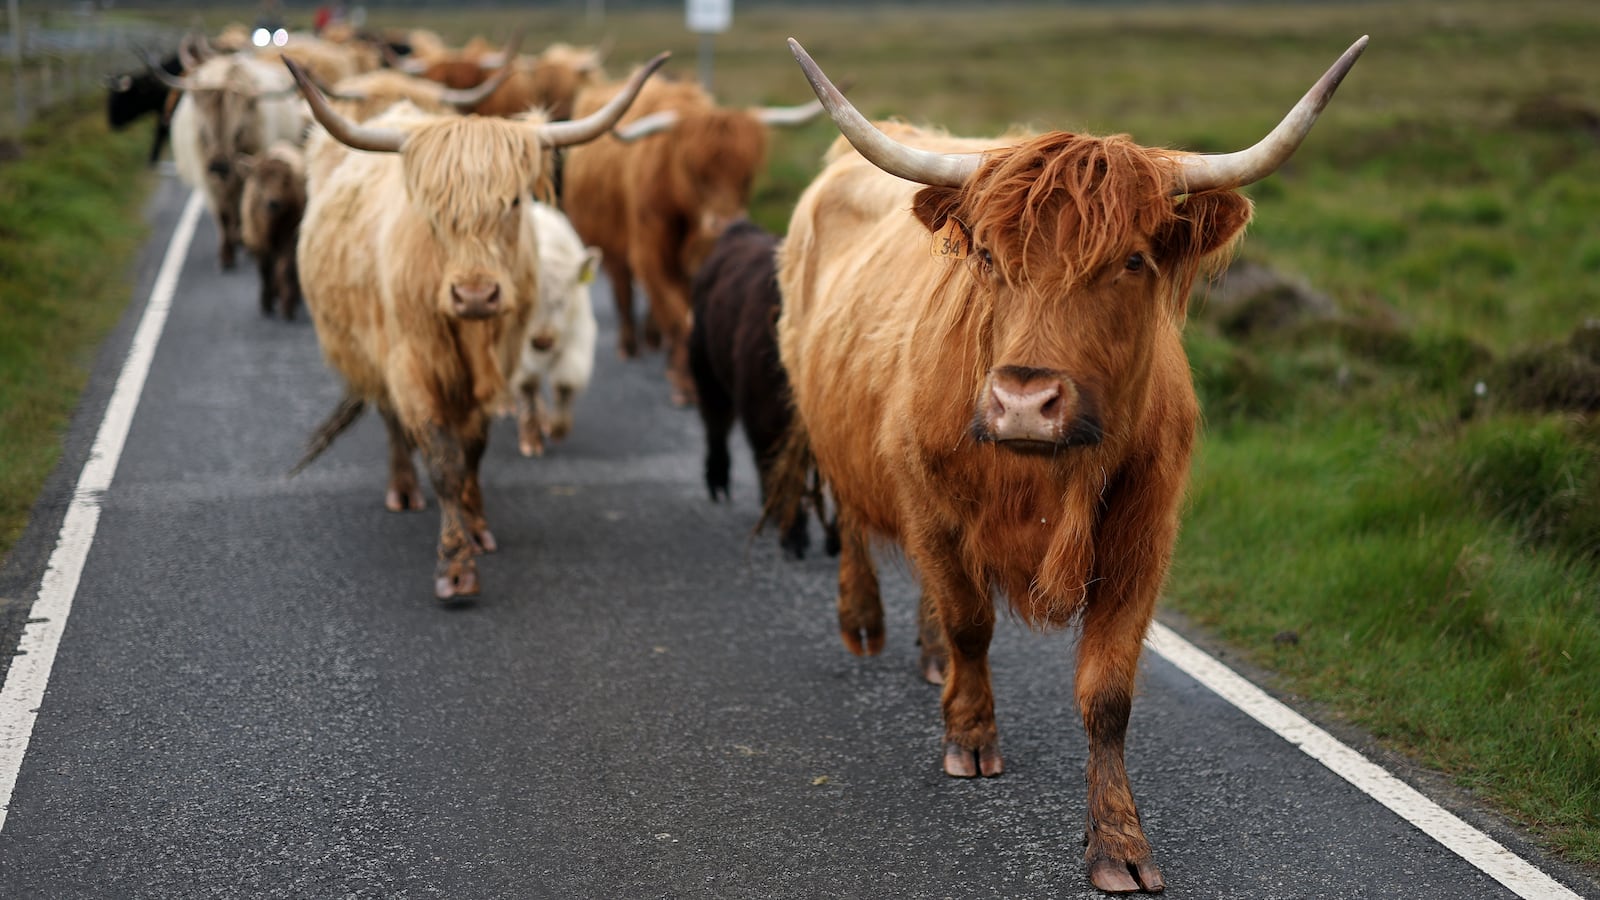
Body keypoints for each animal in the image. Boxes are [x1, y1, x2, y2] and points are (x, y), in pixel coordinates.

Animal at [160, 53, 305, 270]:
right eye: (203, 130)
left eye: (238, 131)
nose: (219, 166)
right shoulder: (210, 181)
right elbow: (223, 214)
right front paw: (226, 255)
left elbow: (239, 209)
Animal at [238, 140, 307, 321]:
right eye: (259, 179)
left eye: (285, 181)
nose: (273, 203)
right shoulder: (259, 245)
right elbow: (265, 271)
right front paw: (266, 303)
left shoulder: (289, 241)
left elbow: (285, 268)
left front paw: (287, 306)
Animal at [510, 202, 601, 458]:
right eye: (527, 301)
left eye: (562, 301)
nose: (542, 340)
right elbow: (527, 388)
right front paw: (531, 440)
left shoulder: (578, 340)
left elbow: (564, 383)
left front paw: (558, 428)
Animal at [560, 77, 822, 406]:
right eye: (693, 170)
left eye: (747, 175)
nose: (724, 222)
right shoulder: (650, 253)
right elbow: (677, 314)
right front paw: (686, 383)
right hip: (611, 244)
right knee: (624, 291)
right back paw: (629, 345)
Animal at [768, 38, 1366, 894]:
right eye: (987, 256)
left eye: (1132, 261)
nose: (1023, 400)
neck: (1048, 480)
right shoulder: (934, 503)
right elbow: (972, 620)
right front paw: (971, 737)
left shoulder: (1143, 535)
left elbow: (1107, 694)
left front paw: (1119, 841)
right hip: (837, 426)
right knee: (856, 518)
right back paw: (866, 624)